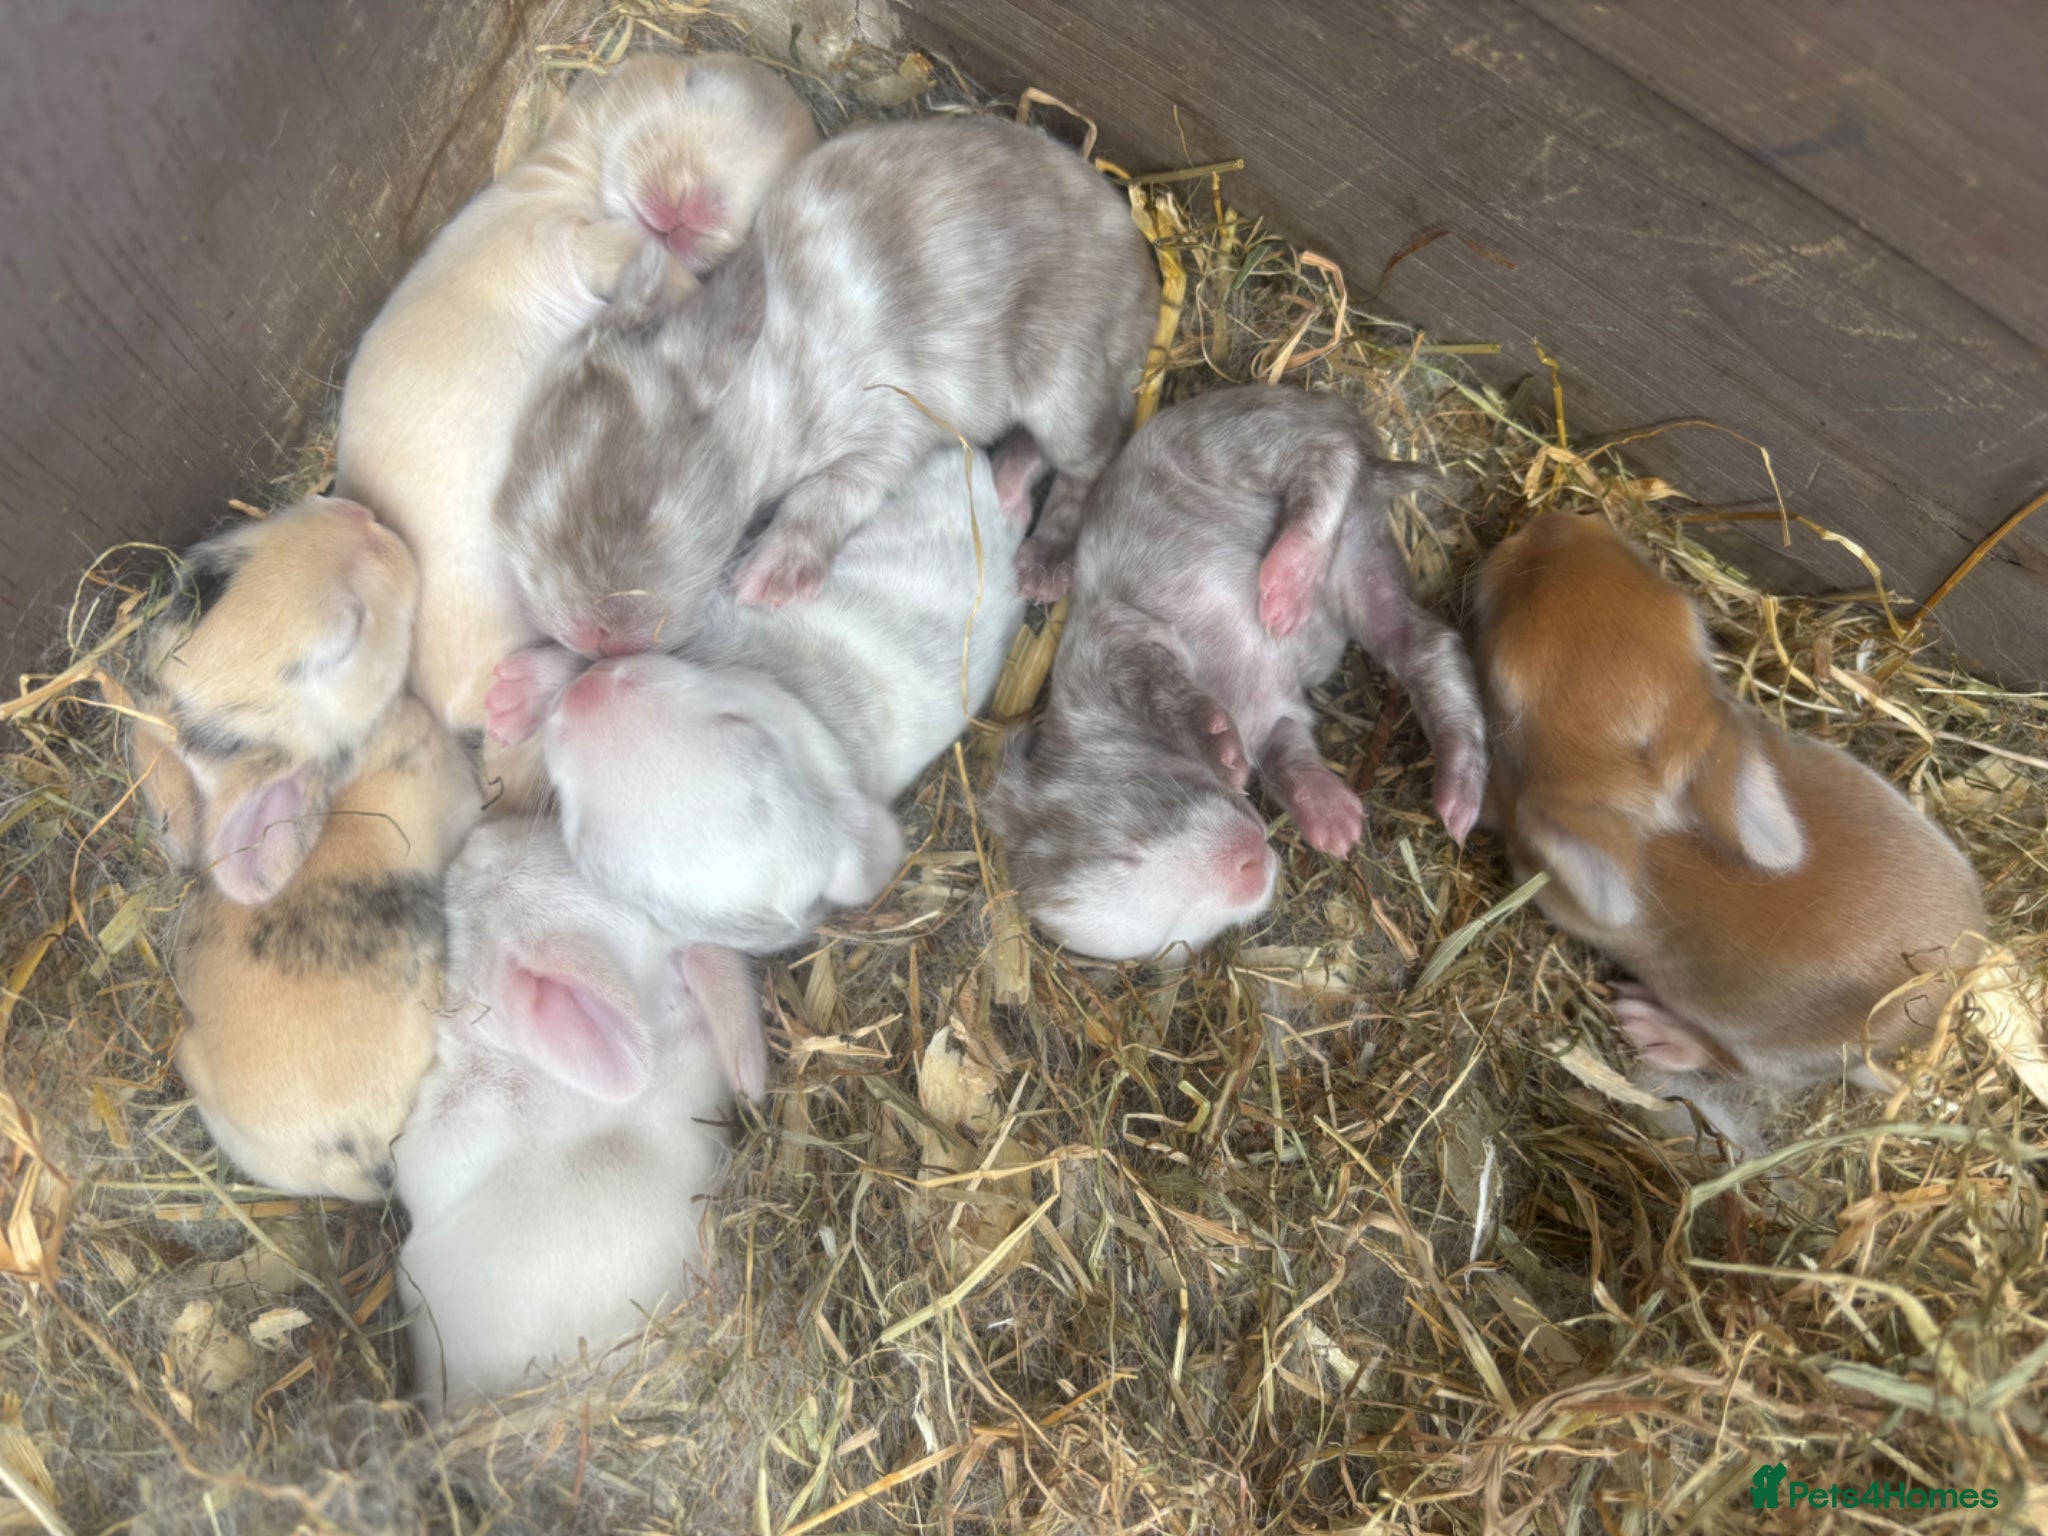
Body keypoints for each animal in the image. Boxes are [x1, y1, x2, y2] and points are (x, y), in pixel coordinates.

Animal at [485, 438, 1034, 951]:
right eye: (741, 724)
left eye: (583, 845)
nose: (592, 694)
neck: (822, 724)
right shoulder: (723, 618)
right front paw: (525, 689)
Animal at [494, 114, 1158, 660]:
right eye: (508, 515)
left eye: (647, 508)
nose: (589, 638)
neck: (762, 373)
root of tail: (1141, 267)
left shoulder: (881, 428)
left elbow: (826, 499)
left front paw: (768, 579)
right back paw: (1007, 480)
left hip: (1063, 378)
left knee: (1097, 451)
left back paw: (1044, 562)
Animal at [987, 385, 1487, 962]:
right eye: (1174, 943)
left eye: (1122, 852)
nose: (1250, 865)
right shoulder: (1273, 717)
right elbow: (1288, 758)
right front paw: (1332, 820)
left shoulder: (1111, 642)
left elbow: (1155, 687)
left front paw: (1221, 747)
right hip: (1363, 569)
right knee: (1427, 645)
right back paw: (1458, 795)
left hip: (1223, 445)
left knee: (1323, 459)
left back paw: (1286, 583)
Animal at [1472, 510, 1988, 1085]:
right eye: (1680, 608)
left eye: (1503, 679)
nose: (1550, 523)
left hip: (1771, 1052)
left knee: (1735, 1066)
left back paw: (1655, 1029)